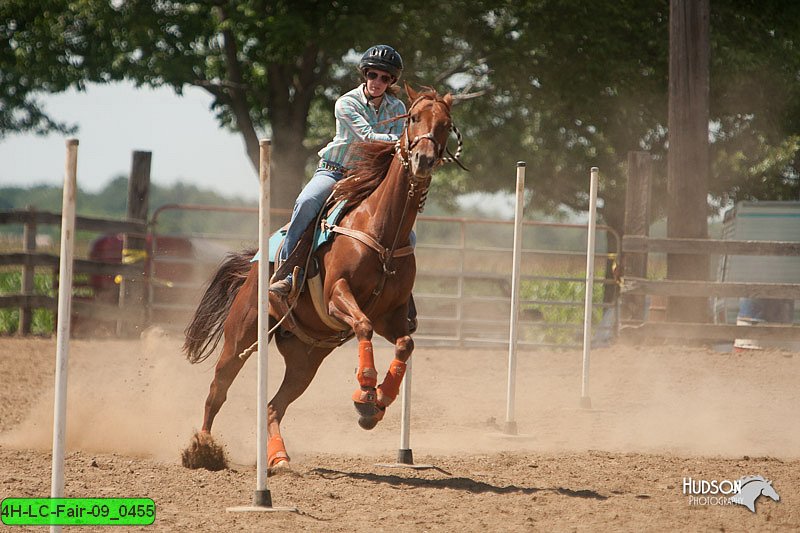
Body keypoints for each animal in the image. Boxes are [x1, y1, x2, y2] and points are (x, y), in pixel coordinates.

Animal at [177, 84, 460, 470]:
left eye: (445, 124)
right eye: (413, 118)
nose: (424, 159)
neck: (382, 231)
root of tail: (253, 268)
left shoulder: (392, 314)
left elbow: (405, 343)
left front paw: (377, 402)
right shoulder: (337, 294)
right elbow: (362, 326)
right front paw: (365, 391)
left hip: (305, 359)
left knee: (273, 406)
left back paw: (279, 457)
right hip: (242, 335)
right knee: (217, 390)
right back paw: (202, 449)